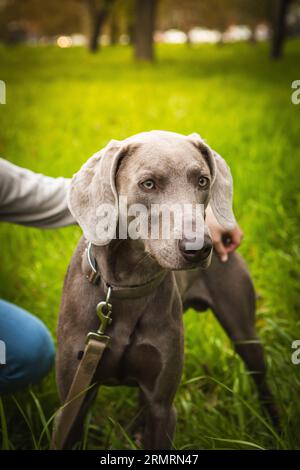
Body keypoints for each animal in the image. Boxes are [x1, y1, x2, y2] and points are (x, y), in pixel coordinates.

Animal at [54, 130, 278, 450]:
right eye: (148, 184)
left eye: (203, 180)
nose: (200, 248)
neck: (127, 285)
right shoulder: (73, 401)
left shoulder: (163, 405)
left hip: (244, 332)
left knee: (261, 379)